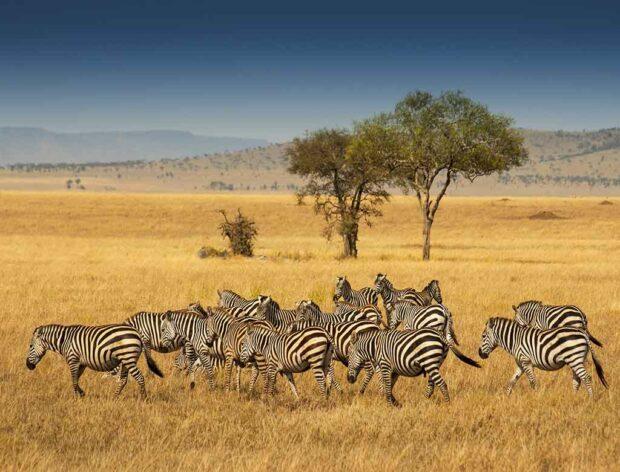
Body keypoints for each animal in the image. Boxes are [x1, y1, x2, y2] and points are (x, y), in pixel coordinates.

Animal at [25, 322, 163, 396]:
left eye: (30, 346)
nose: (28, 366)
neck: (64, 340)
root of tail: (138, 333)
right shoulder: (81, 363)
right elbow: (76, 380)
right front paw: (80, 393)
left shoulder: (73, 359)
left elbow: (74, 380)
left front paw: (77, 396)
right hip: (125, 360)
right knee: (123, 380)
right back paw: (115, 397)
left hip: (128, 358)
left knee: (139, 377)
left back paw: (143, 398)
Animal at [346, 324, 478, 406]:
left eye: (349, 355)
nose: (349, 379)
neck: (375, 346)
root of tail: (439, 333)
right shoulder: (394, 370)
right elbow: (389, 387)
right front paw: (395, 403)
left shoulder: (385, 365)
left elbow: (387, 387)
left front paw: (389, 405)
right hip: (435, 363)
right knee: (432, 385)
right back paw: (424, 402)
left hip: (429, 362)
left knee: (442, 384)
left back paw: (447, 404)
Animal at [478, 318, 608, 398]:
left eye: (483, 336)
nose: (479, 354)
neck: (515, 339)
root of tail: (583, 334)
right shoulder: (521, 363)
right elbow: (512, 381)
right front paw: (507, 396)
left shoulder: (526, 361)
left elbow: (532, 381)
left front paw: (536, 397)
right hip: (576, 360)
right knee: (577, 379)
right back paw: (574, 397)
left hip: (574, 359)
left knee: (586, 377)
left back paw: (590, 399)